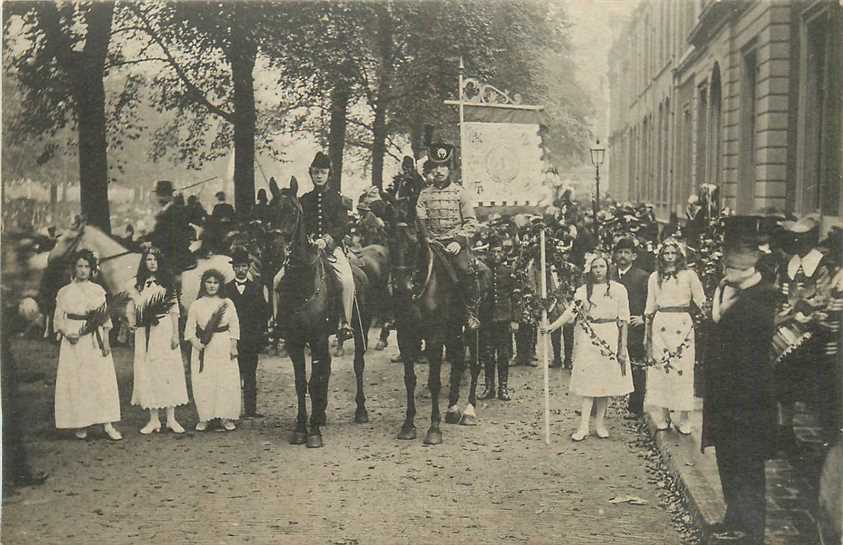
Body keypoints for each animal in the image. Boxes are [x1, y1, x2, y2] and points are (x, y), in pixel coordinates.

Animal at [272, 177, 374, 446]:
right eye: (269, 211)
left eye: (293, 211)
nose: (276, 246)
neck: (302, 284)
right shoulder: (295, 341)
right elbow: (301, 383)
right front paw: (301, 428)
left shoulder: (317, 338)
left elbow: (313, 380)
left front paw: (314, 432)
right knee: (325, 368)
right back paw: (321, 413)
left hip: (359, 330)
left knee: (358, 365)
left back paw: (360, 411)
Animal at [392, 219, 484, 444]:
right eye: (390, 241)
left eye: (414, 242)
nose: (402, 286)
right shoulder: (405, 337)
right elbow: (409, 380)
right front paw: (408, 426)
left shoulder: (435, 337)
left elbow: (434, 382)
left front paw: (434, 429)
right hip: (453, 331)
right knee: (458, 362)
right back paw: (452, 409)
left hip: (472, 329)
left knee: (474, 364)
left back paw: (469, 411)